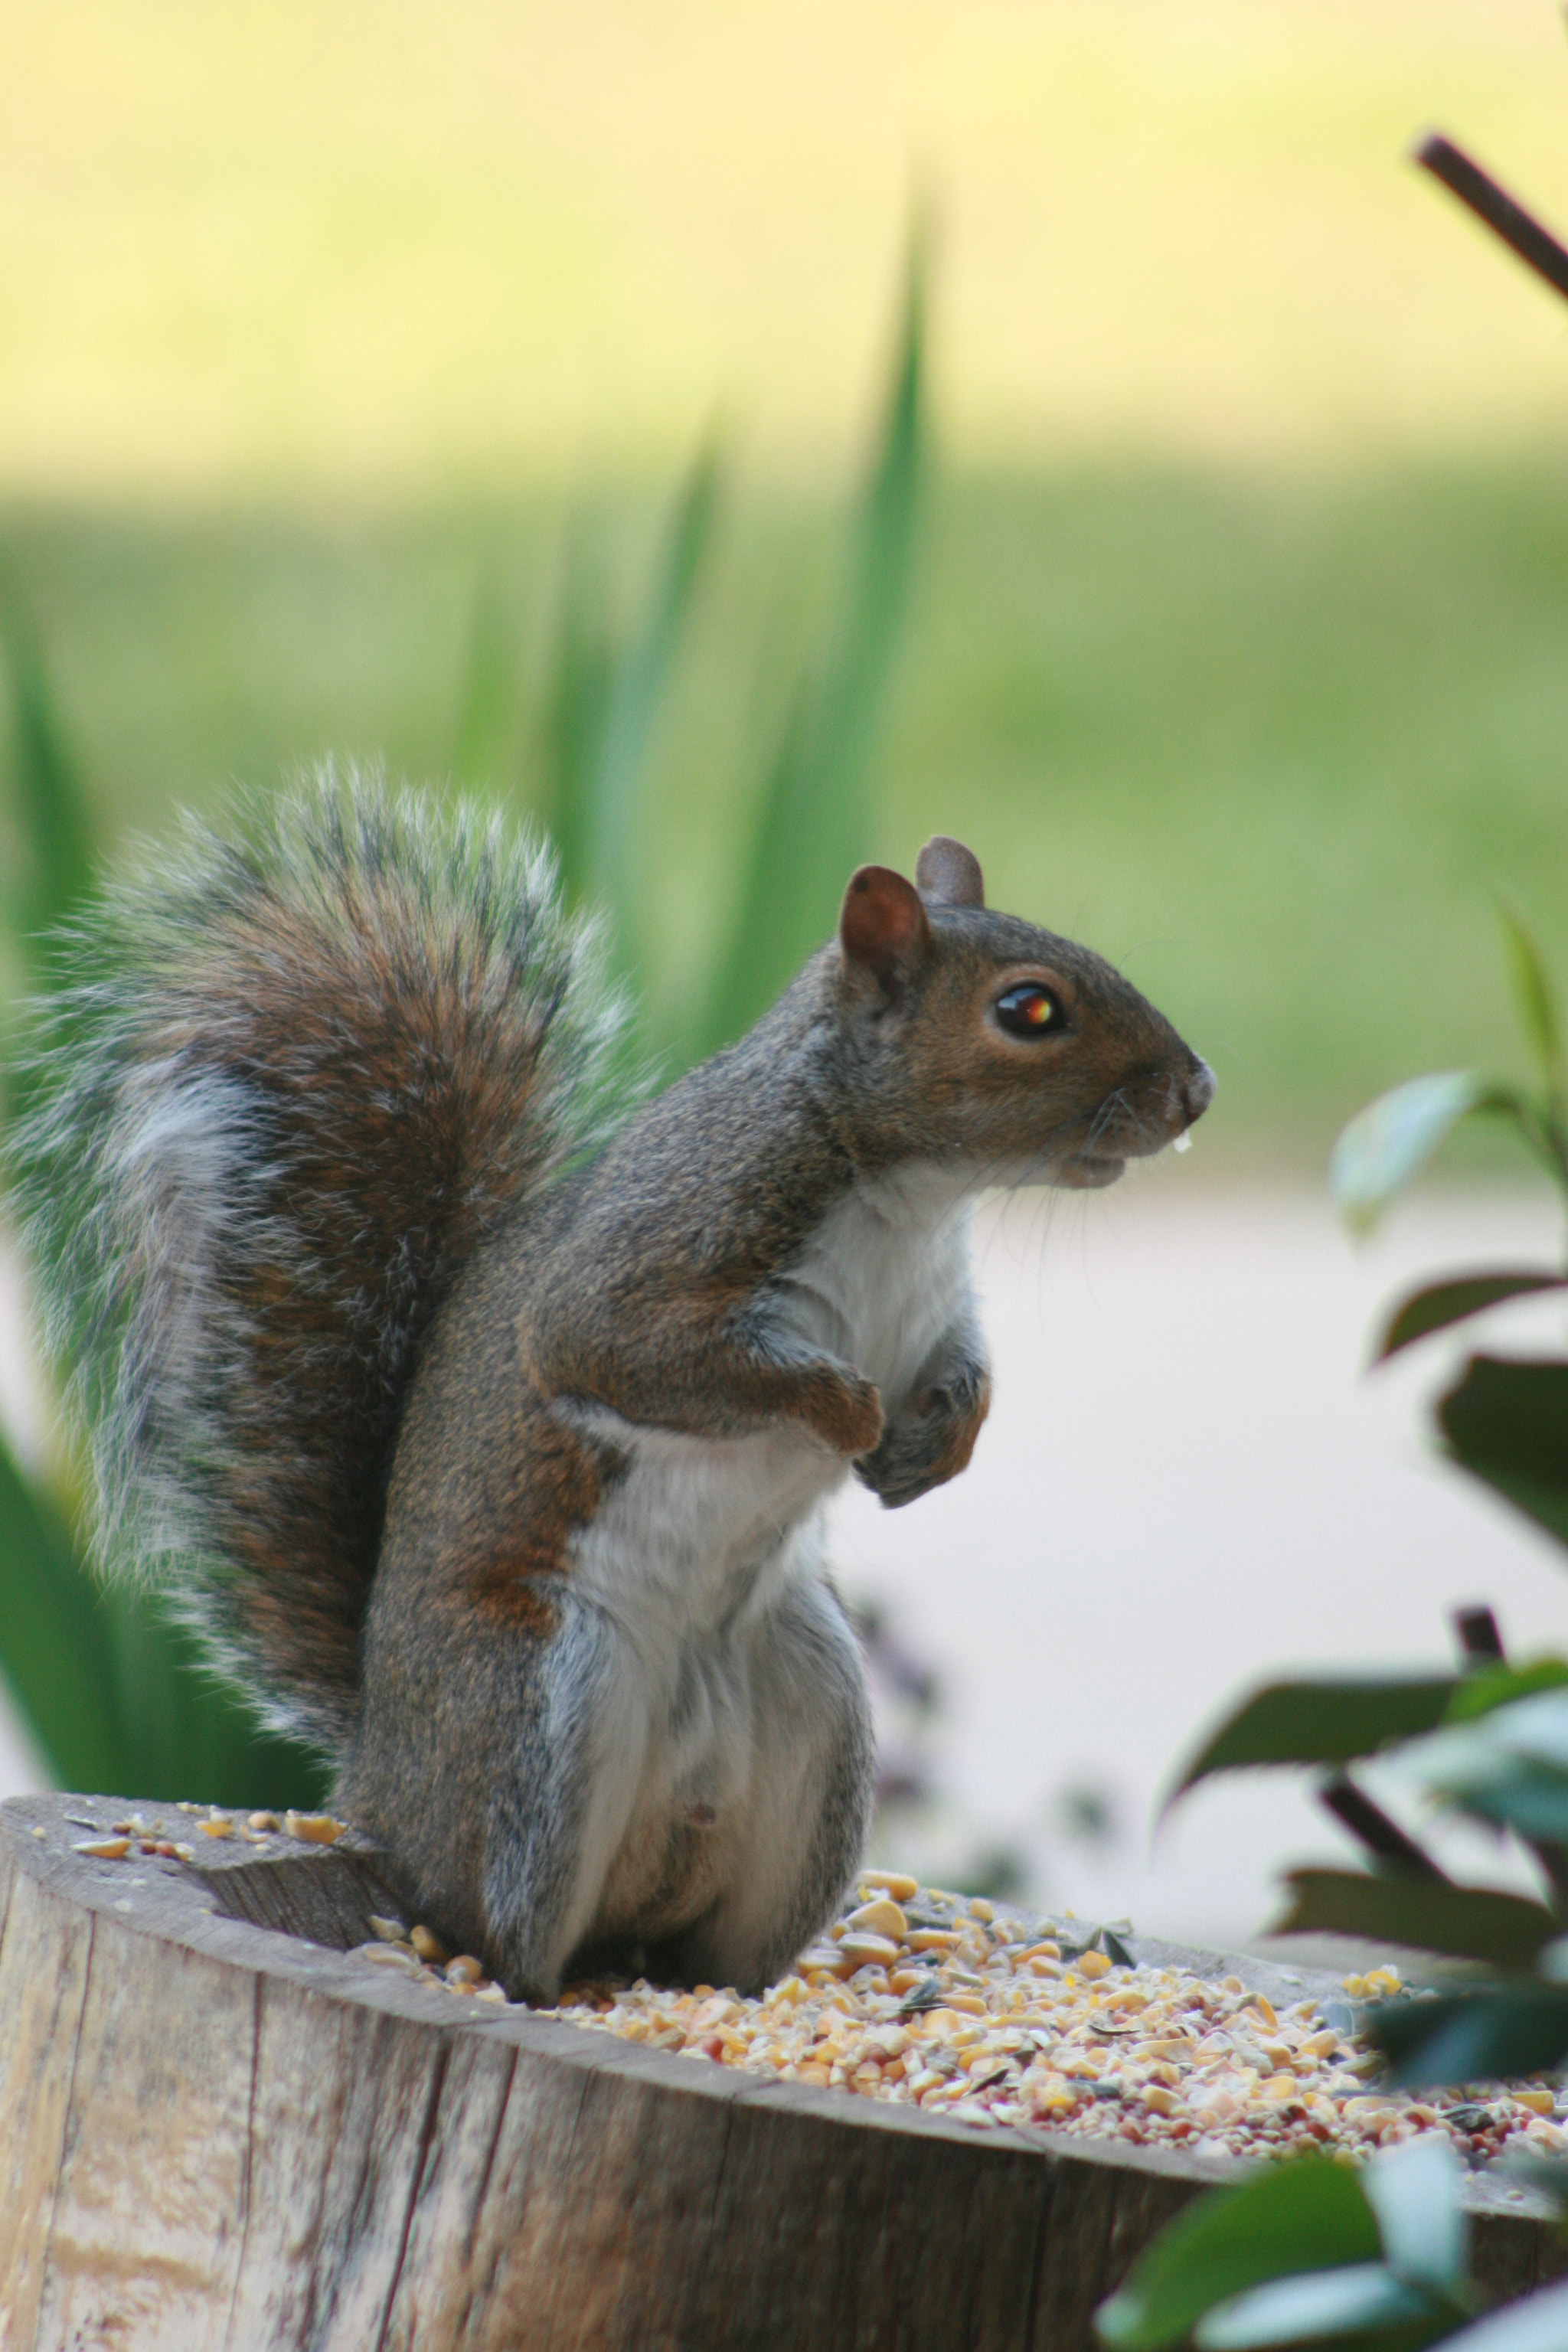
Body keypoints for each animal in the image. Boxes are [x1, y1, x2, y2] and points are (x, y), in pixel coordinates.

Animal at [18, 774, 1213, 1999]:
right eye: (1029, 1010)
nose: (1196, 1091)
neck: (909, 1199)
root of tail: (379, 1780)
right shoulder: (658, 1254)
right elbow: (627, 1352)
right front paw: (842, 1412)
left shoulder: (932, 1310)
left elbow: (965, 1376)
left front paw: (934, 1450)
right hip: (538, 1705)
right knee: (489, 1924)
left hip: (814, 1706)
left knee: (709, 1941)